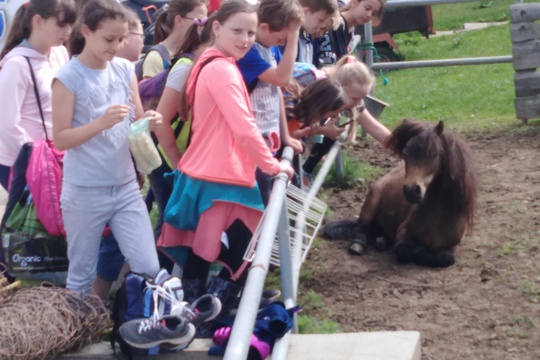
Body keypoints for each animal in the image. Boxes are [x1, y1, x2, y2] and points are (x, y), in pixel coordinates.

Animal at [320, 119, 476, 268]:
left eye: (434, 153)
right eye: (405, 153)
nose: (411, 191)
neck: (437, 219)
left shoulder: (454, 245)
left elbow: (447, 258)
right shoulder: (403, 231)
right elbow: (403, 250)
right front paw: (418, 251)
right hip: (371, 201)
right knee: (361, 228)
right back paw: (359, 244)